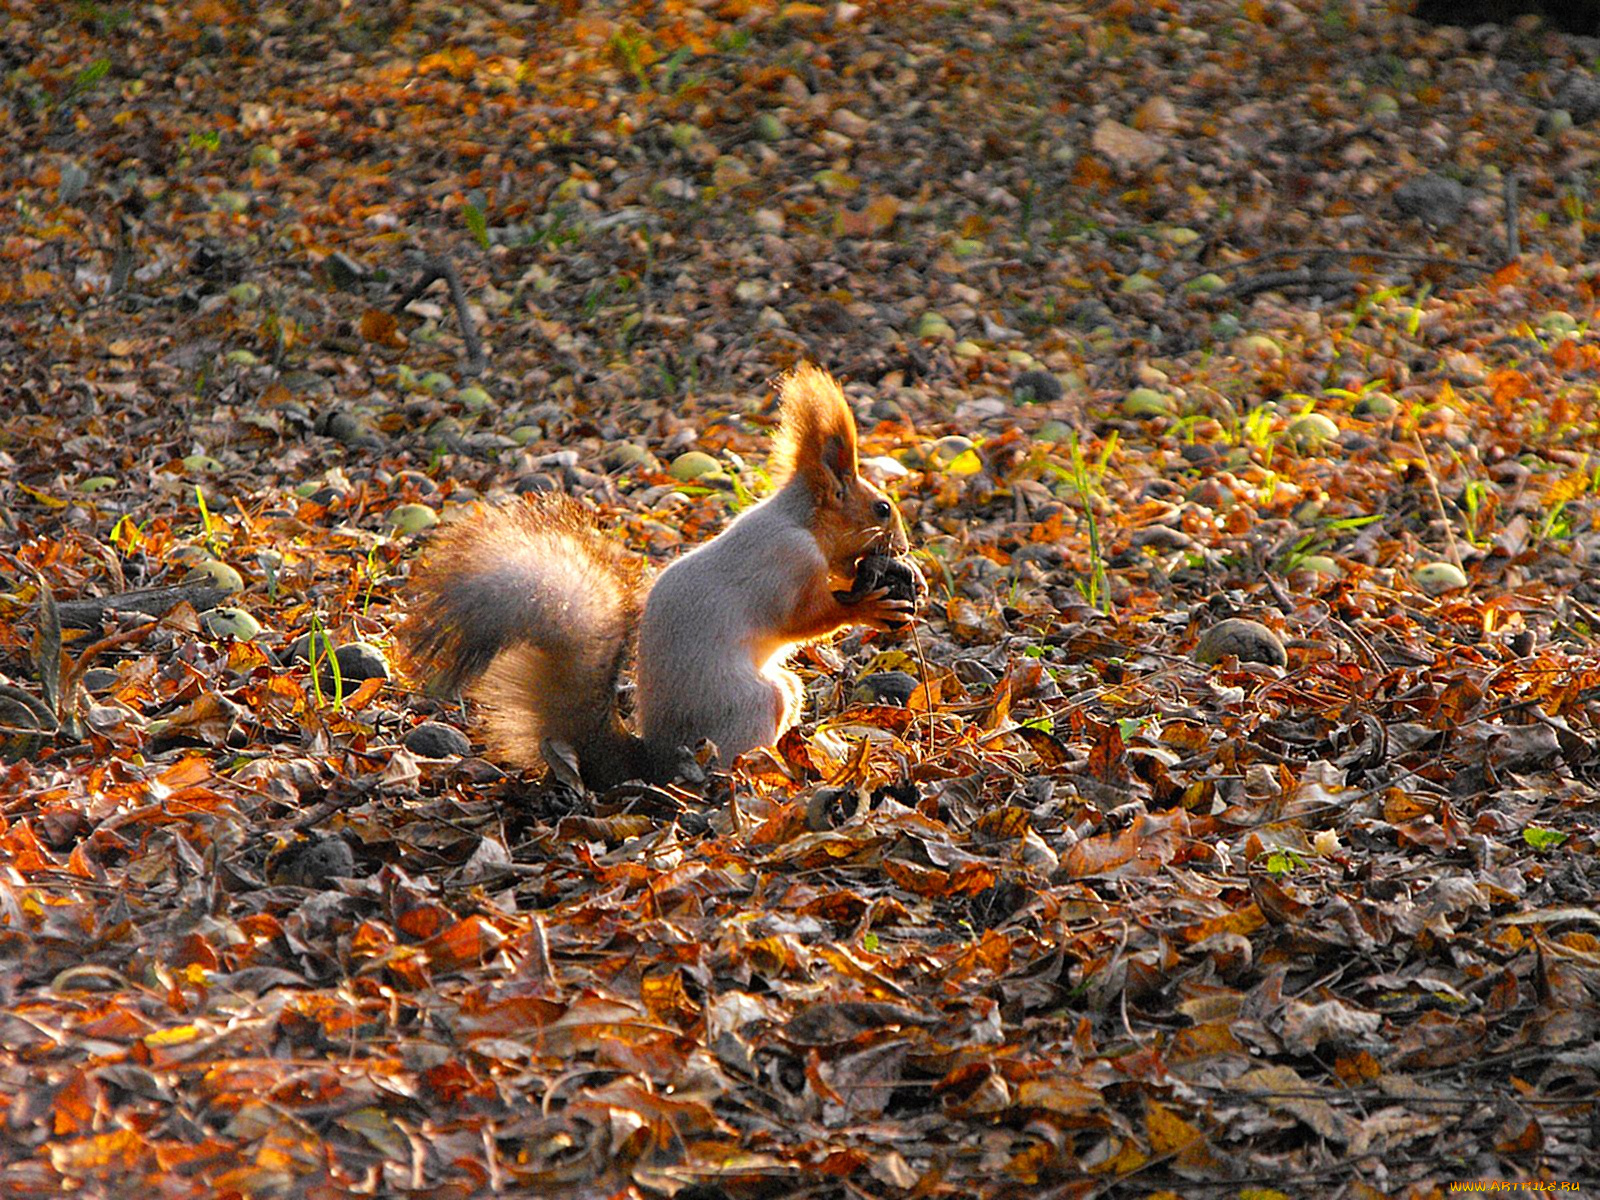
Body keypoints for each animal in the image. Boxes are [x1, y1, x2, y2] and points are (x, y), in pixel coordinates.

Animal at [403, 366, 915, 800]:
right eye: (882, 508)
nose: (907, 546)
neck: (800, 522)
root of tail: (656, 762)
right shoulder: (786, 561)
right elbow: (802, 619)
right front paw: (870, 605)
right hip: (748, 703)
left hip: (781, 691)